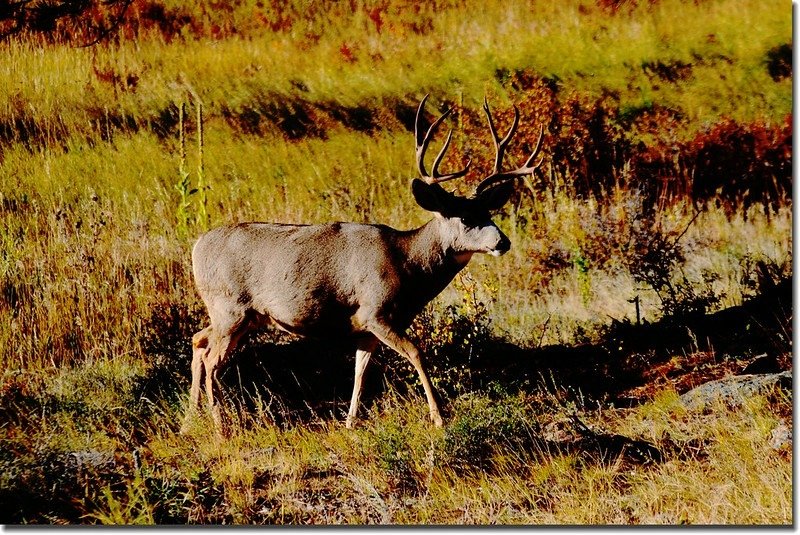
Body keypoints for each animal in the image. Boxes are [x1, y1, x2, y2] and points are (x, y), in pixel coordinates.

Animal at [184, 94, 540, 434]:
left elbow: (360, 370)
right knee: (212, 359)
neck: (407, 263)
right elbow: (416, 353)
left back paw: (191, 418)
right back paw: (220, 427)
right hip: (230, 307)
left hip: (242, 316)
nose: (503, 242)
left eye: (489, 213)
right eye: (466, 218)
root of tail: (197, 247)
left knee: (199, 340)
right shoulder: (375, 311)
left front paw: (351, 421)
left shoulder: (365, 327)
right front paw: (439, 417)